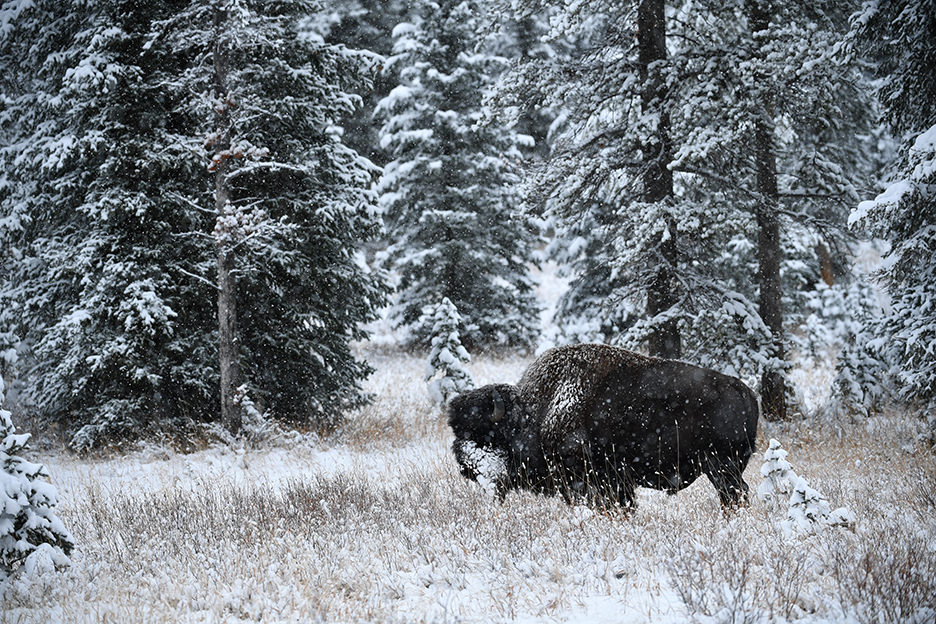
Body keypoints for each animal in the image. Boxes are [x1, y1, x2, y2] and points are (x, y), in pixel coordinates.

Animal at [446, 344, 760, 510]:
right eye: (457, 434)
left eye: (488, 437)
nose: (467, 467)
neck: (537, 411)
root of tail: (745, 392)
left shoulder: (596, 479)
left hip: (721, 466)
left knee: (735, 494)